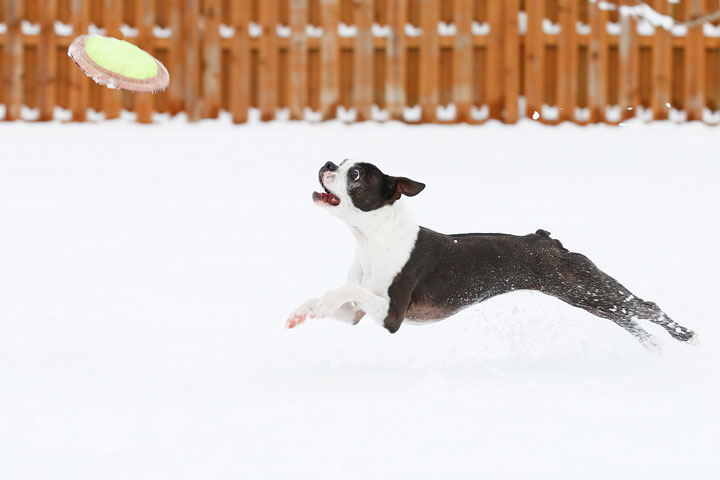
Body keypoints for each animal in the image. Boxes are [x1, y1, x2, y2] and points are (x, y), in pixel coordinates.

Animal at [286, 161, 696, 352]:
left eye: (354, 174)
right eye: (340, 162)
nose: (327, 164)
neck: (372, 238)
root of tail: (546, 240)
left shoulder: (392, 315)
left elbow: (345, 289)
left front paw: (318, 303)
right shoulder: (356, 315)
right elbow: (341, 295)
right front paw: (304, 310)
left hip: (584, 287)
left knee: (642, 307)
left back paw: (685, 337)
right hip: (586, 294)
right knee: (626, 316)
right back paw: (658, 345)